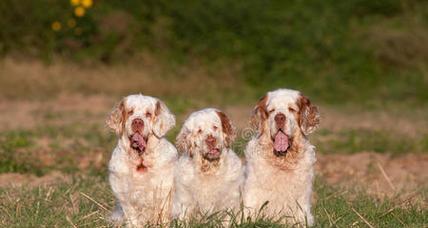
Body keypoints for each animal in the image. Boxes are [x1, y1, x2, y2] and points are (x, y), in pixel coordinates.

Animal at [107, 93, 177, 225]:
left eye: (148, 114)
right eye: (130, 112)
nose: (137, 122)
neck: (140, 162)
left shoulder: (164, 191)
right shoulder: (124, 195)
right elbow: (132, 218)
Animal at [242, 88, 320, 225]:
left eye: (292, 109)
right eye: (272, 110)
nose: (279, 117)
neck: (282, 161)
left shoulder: (302, 206)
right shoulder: (252, 196)